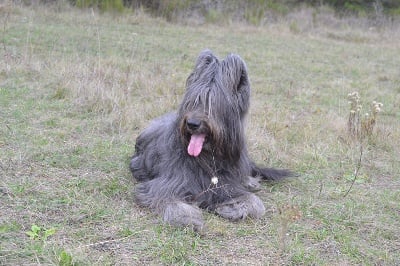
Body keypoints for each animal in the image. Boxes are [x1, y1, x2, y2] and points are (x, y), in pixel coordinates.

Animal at [130, 50, 290, 231]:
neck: (209, 157)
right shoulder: (165, 184)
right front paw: (189, 218)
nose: (192, 124)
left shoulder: (227, 184)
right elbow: (167, 200)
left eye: (212, 104)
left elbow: (256, 203)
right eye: (193, 101)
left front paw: (231, 208)